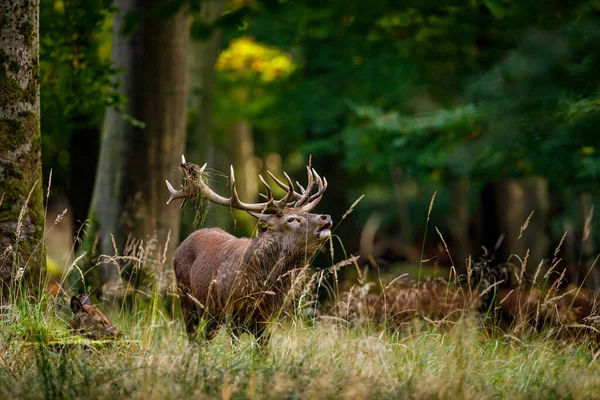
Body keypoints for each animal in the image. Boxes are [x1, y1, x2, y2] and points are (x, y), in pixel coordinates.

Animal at [165, 155, 332, 342]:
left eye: (307, 213)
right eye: (291, 219)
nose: (326, 217)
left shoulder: (267, 320)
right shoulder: (232, 315)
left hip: (212, 315)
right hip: (186, 298)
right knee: (193, 339)